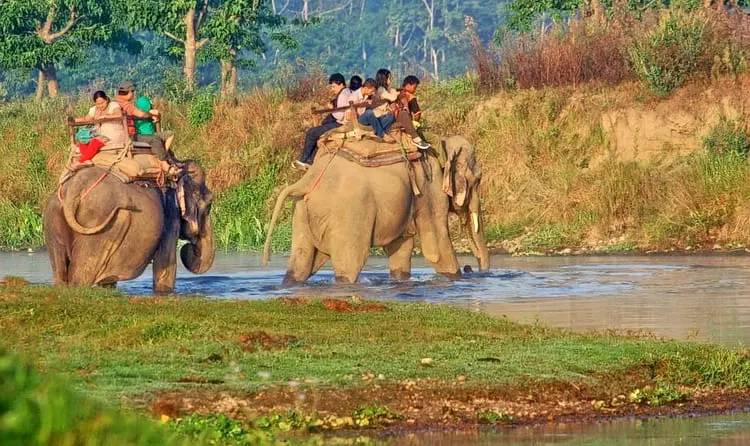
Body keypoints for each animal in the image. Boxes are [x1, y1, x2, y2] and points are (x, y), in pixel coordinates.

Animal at [43, 161, 215, 292]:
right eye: (209, 204)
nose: (190, 248)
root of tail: (73, 191)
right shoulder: (170, 215)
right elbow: (165, 267)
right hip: (99, 228)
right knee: (80, 275)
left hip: (52, 220)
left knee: (59, 271)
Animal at [262, 135, 489, 284]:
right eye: (478, 179)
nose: (471, 268)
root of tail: (306, 180)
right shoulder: (429, 188)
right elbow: (436, 249)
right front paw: (456, 278)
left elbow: (401, 247)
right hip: (349, 216)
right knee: (350, 265)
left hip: (301, 212)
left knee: (300, 265)